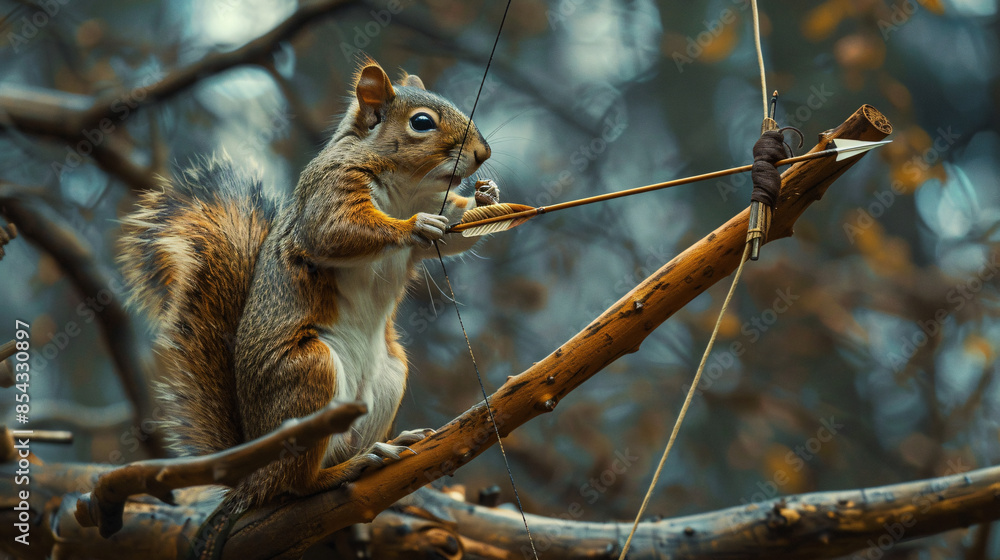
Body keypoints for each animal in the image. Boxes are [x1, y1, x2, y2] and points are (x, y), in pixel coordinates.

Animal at [118, 59, 499, 512]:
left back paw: (383, 447)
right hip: (309, 377)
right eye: (422, 122)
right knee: (295, 484)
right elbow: (334, 231)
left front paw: (487, 198)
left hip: (389, 376)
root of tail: (252, 476)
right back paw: (345, 470)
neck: (407, 188)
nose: (483, 154)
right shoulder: (331, 189)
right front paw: (413, 226)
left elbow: (457, 233)